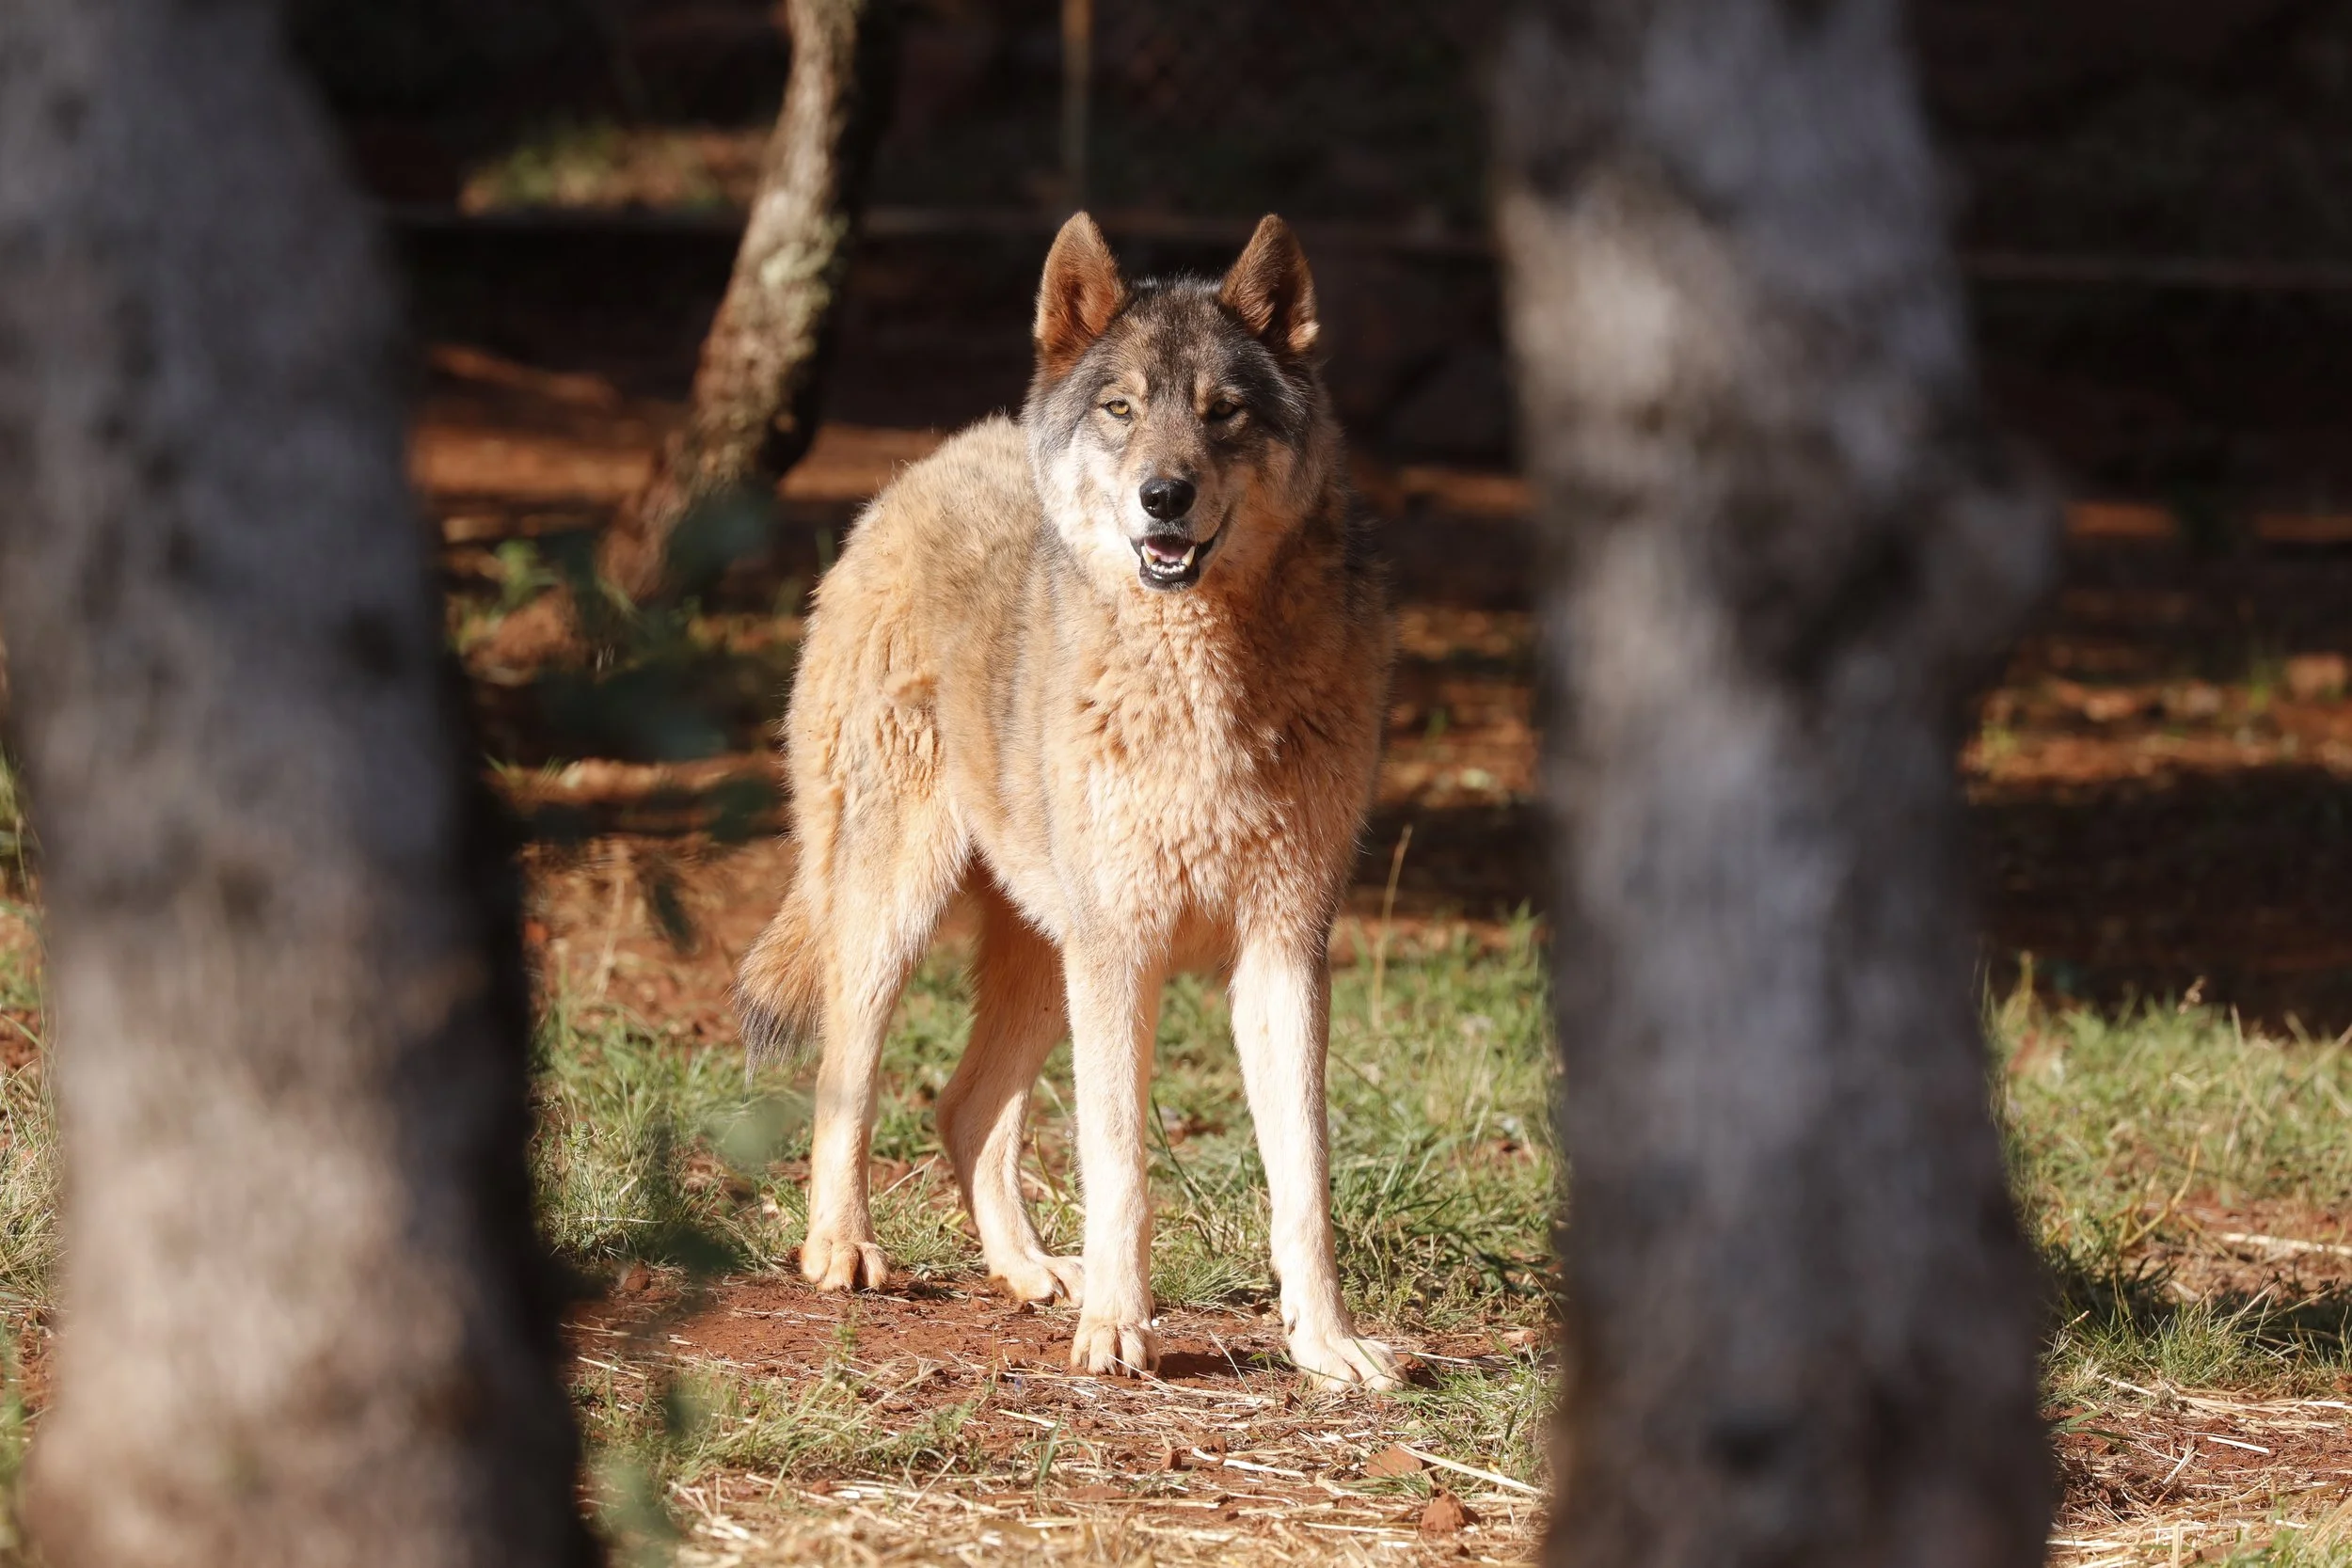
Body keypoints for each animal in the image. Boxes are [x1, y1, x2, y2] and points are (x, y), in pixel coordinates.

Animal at [733, 212, 1398, 1388]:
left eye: (1223, 412)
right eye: (1122, 408)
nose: (1163, 497)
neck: (1202, 679)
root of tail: (933, 459)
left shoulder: (1283, 947)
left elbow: (1304, 1180)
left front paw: (1325, 1344)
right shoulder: (1122, 949)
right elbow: (1119, 1161)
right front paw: (1120, 1331)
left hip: (1047, 953)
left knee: (960, 1108)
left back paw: (1034, 1272)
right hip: (903, 919)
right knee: (849, 1081)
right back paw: (843, 1249)